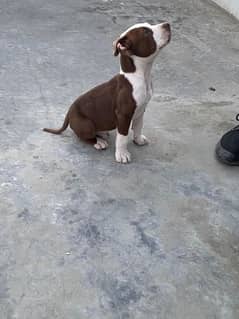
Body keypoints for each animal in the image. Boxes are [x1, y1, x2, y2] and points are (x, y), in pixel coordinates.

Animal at [43, 21, 170, 165]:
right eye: (146, 32)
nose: (167, 24)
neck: (139, 75)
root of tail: (69, 114)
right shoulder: (123, 115)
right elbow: (122, 137)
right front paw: (122, 154)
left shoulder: (141, 110)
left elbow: (138, 126)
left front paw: (138, 139)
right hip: (86, 124)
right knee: (83, 136)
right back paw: (99, 142)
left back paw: (102, 133)